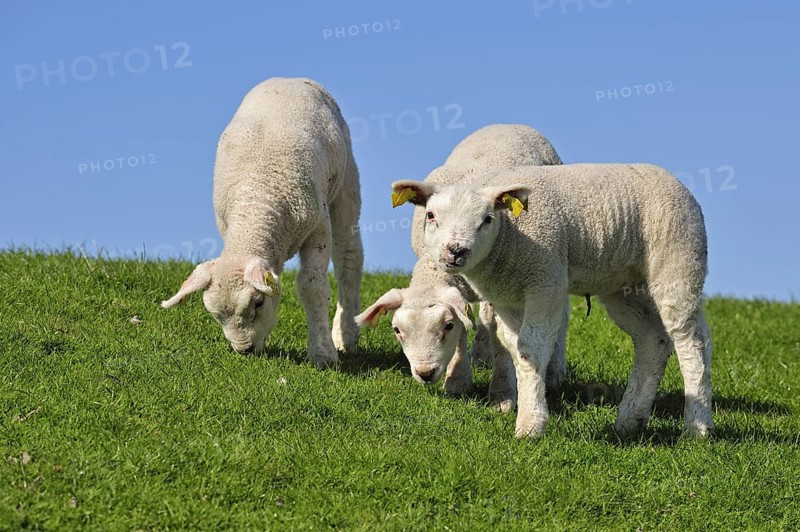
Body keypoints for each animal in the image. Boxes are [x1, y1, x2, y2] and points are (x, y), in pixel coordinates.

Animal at [162, 77, 363, 368]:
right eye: (215, 314)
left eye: (257, 303)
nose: (244, 350)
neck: (257, 199)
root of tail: (290, 79)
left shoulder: (318, 229)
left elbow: (312, 286)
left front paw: (323, 354)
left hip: (346, 181)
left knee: (349, 256)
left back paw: (346, 334)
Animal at [357, 124, 567, 408]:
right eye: (397, 330)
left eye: (446, 326)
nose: (425, 373)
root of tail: (508, 124)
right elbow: (467, 325)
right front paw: (458, 379)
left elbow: (496, 334)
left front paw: (501, 392)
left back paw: (555, 371)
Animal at [391, 163, 713, 438]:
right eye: (431, 216)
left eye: (487, 219)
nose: (456, 251)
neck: (509, 237)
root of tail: (677, 182)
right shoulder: (506, 297)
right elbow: (514, 347)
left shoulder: (545, 282)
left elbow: (531, 347)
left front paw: (530, 425)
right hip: (624, 286)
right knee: (653, 340)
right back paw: (630, 420)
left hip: (678, 263)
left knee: (691, 342)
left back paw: (697, 426)